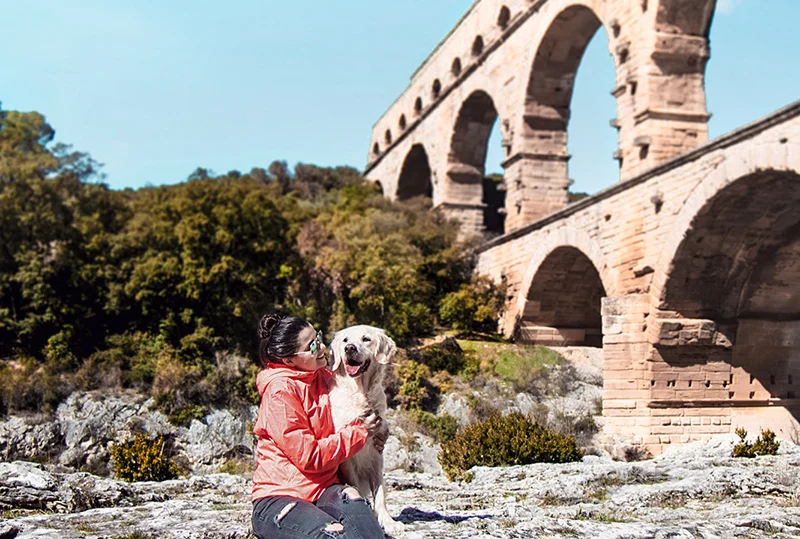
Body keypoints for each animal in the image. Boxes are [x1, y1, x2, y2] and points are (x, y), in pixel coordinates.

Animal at [326, 324, 404, 536]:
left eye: (366, 339)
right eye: (345, 340)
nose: (349, 348)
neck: (361, 393)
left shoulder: (376, 453)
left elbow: (380, 493)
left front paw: (388, 522)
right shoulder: (347, 458)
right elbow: (358, 491)